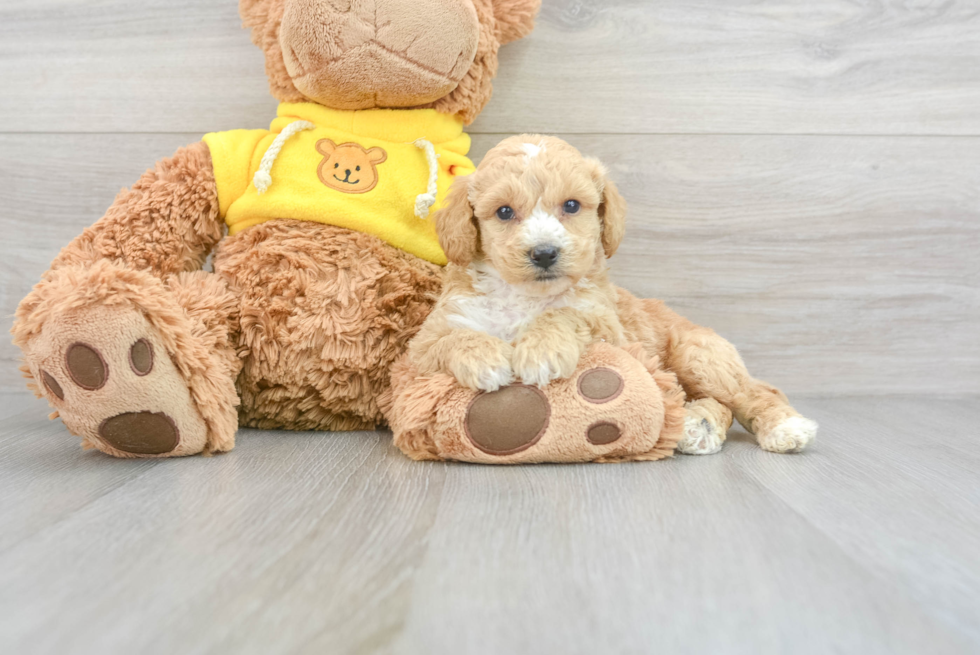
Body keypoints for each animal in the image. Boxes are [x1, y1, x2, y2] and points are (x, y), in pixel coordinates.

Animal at [408, 133, 628, 390]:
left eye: (572, 205)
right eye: (504, 211)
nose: (544, 253)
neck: (524, 296)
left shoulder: (606, 322)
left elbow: (565, 313)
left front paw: (542, 349)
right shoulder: (425, 344)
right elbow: (452, 337)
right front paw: (484, 358)